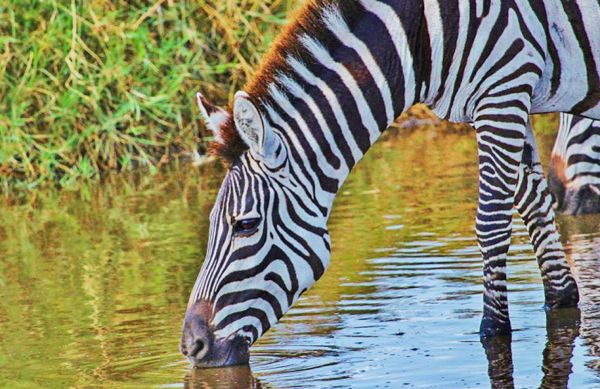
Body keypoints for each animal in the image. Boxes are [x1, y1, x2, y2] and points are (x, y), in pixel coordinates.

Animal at [180, 0, 596, 366]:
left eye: (246, 225)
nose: (190, 347)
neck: (422, 35)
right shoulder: (501, 102)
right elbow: (533, 201)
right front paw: (561, 294)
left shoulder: (504, 88)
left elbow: (491, 223)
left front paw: (494, 330)